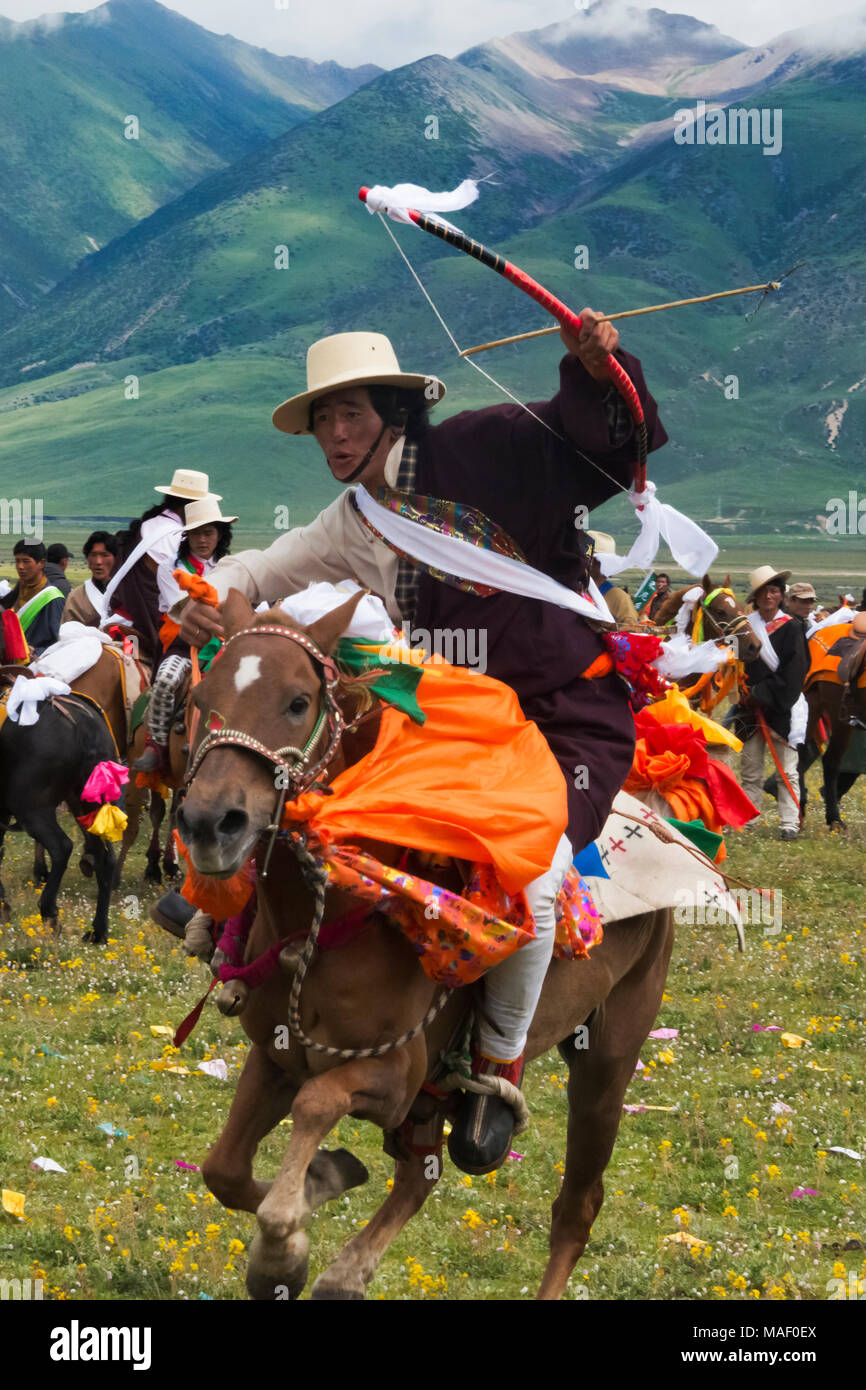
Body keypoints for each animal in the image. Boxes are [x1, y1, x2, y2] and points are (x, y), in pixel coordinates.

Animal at [0, 686, 119, 945]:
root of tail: (82, 722)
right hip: (86, 806)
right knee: (105, 857)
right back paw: (98, 931)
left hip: (32, 809)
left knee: (61, 847)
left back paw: (49, 912)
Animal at [176, 589, 675, 1301]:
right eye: (199, 698)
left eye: (298, 701)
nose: (209, 823)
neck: (336, 919)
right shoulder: (276, 1057)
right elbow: (225, 1169)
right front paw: (314, 1201)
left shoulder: (394, 1074)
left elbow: (316, 1105)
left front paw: (286, 1239)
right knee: (419, 1176)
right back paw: (345, 1273)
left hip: (608, 1059)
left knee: (576, 1207)